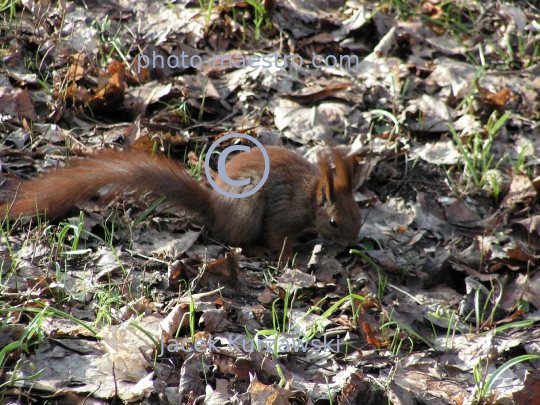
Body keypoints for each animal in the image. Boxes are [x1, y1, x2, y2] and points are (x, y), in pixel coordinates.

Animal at [1, 145, 362, 258]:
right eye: (333, 222)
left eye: (359, 216)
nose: (351, 244)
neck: (311, 195)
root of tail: (215, 207)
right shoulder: (284, 214)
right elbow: (278, 238)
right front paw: (289, 258)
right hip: (248, 208)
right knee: (234, 237)